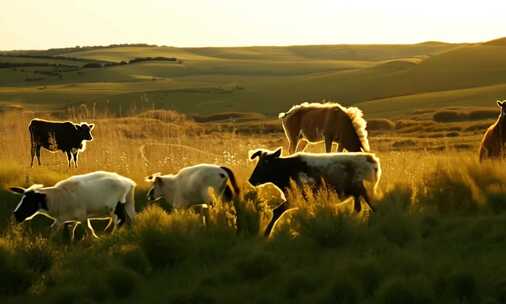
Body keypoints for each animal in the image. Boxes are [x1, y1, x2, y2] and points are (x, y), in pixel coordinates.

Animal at [247, 148, 382, 236]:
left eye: (266, 163)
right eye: (258, 162)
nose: (251, 180)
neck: (288, 169)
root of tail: (372, 159)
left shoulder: (296, 198)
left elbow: (277, 212)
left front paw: (266, 233)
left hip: (366, 192)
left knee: (373, 207)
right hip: (358, 194)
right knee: (358, 209)